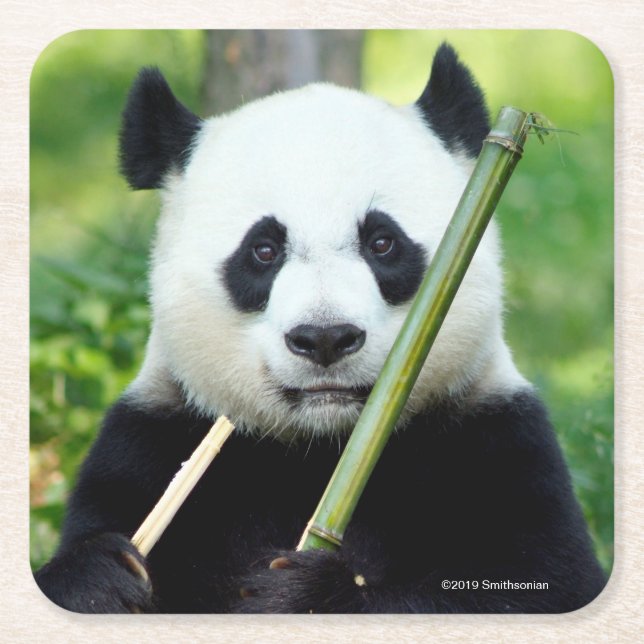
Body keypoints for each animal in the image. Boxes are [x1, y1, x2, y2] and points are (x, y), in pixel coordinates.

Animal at [34, 43, 606, 613]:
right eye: (264, 250)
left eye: (383, 243)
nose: (326, 338)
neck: (320, 449)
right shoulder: (150, 443)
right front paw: (101, 580)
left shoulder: (494, 442)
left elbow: (535, 583)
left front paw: (302, 591)